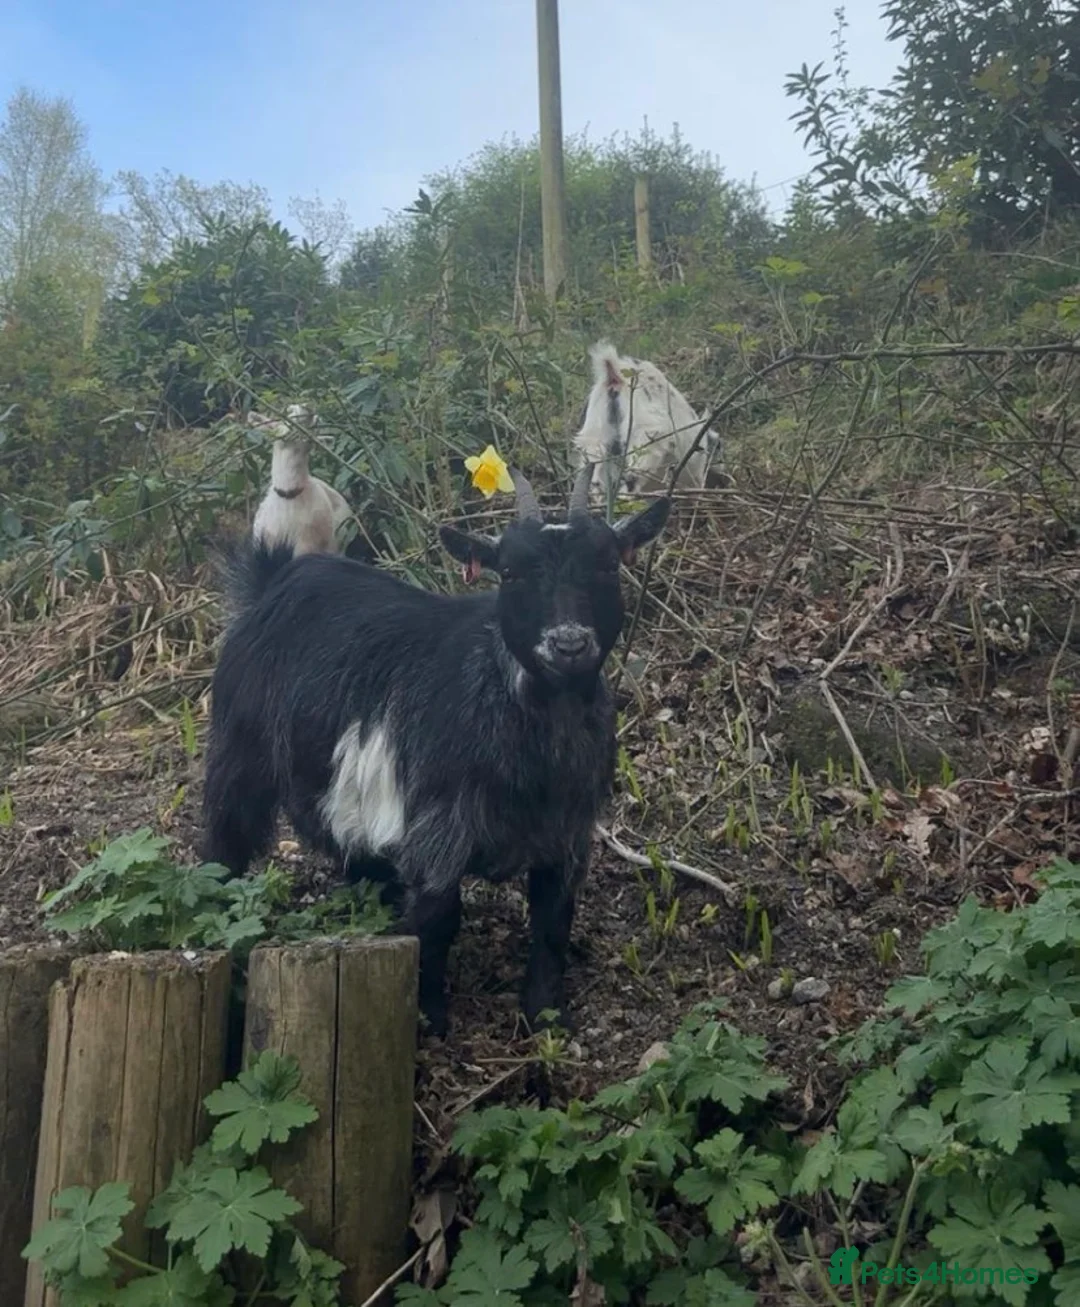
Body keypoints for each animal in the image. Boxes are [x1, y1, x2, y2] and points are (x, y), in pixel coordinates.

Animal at [201, 462, 670, 1036]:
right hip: (239, 754)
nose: (568, 644)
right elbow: (438, 917)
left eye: (607, 564)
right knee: (227, 835)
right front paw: (429, 1017)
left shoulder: (568, 833)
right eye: (509, 573)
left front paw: (545, 1015)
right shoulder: (439, 830)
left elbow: (553, 920)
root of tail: (272, 583)